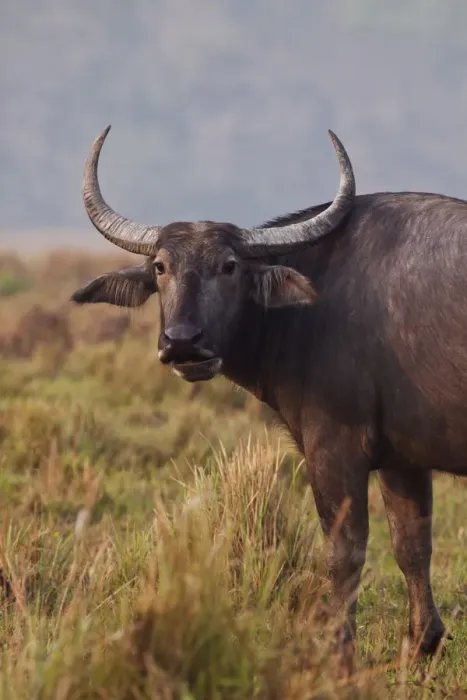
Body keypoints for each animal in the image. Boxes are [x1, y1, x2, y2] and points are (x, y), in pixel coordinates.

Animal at [72, 125, 465, 671]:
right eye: (161, 266)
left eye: (230, 265)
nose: (183, 343)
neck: (314, 302)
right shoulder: (401, 460)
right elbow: (412, 546)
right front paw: (423, 645)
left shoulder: (334, 450)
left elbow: (344, 553)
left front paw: (339, 655)